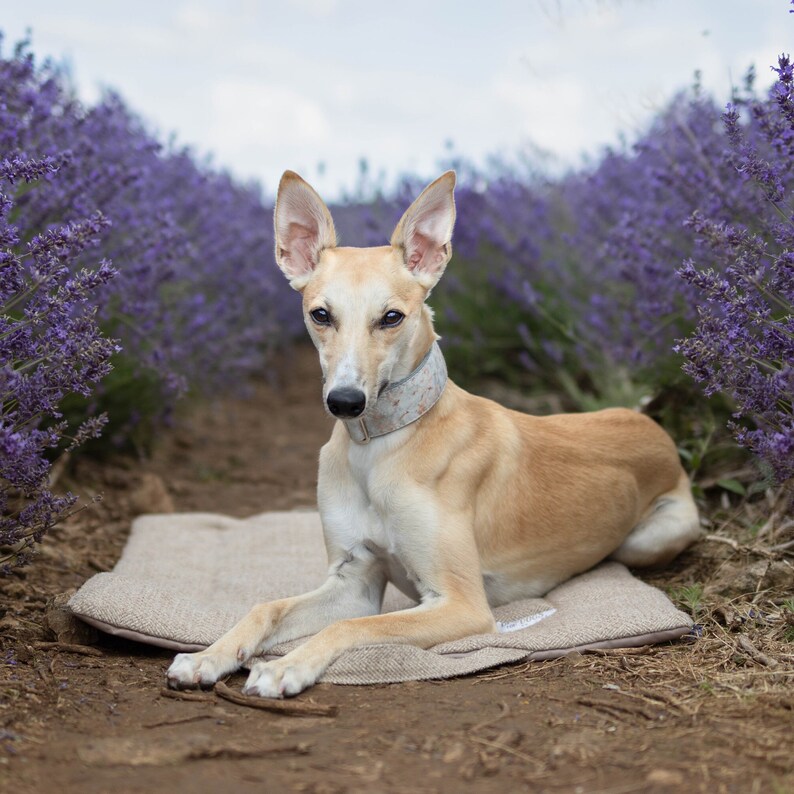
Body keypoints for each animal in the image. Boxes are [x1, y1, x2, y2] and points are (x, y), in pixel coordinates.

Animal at [167, 170, 700, 696]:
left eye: (391, 317)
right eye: (321, 314)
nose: (345, 402)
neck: (383, 448)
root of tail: (650, 424)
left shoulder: (461, 604)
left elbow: (350, 626)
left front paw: (284, 667)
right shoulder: (353, 581)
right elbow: (268, 607)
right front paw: (209, 656)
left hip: (652, 537)